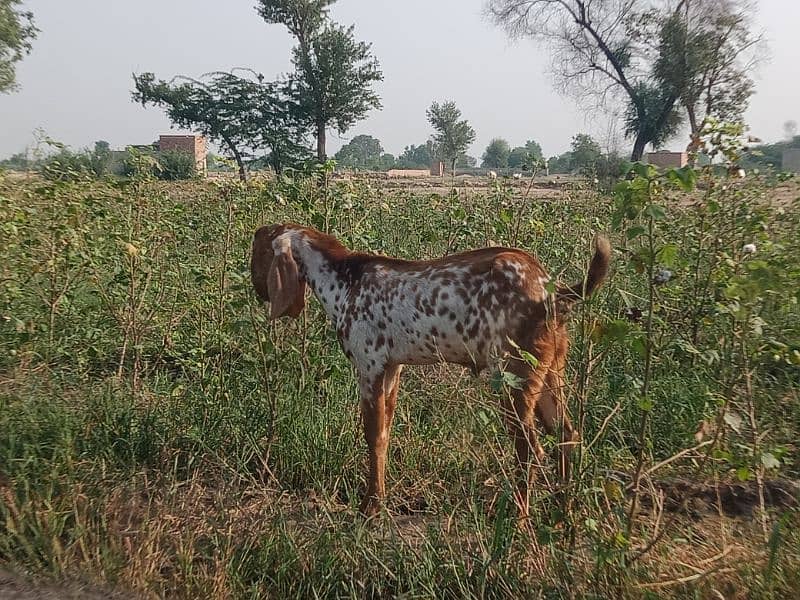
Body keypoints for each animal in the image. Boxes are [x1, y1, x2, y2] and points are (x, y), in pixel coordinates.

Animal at [252, 225, 612, 516]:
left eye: (257, 250)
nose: (257, 287)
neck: (344, 277)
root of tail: (549, 289)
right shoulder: (392, 370)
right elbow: (384, 435)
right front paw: (379, 501)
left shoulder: (368, 368)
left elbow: (371, 435)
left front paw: (369, 507)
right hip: (550, 373)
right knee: (568, 437)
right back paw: (561, 515)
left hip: (514, 379)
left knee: (529, 451)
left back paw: (519, 523)